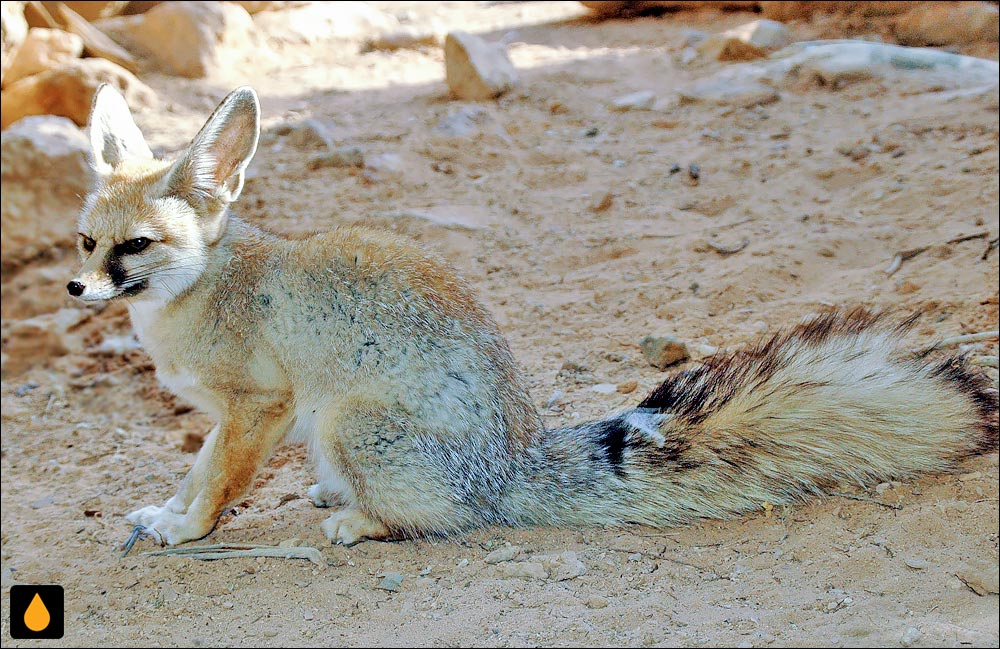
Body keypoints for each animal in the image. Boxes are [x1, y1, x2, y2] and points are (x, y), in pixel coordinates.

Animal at [68, 83, 1000, 544]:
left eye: (137, 246)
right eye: (84, 242)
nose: (78, 291)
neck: (205, 287)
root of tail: (511, 461)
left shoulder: (258, 408)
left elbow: (219, 484)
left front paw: (189, 530)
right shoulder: (225, 418)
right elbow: (195, 471)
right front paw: (167, 512)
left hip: (345, 421)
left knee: (441, 519)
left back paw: (360, 520)